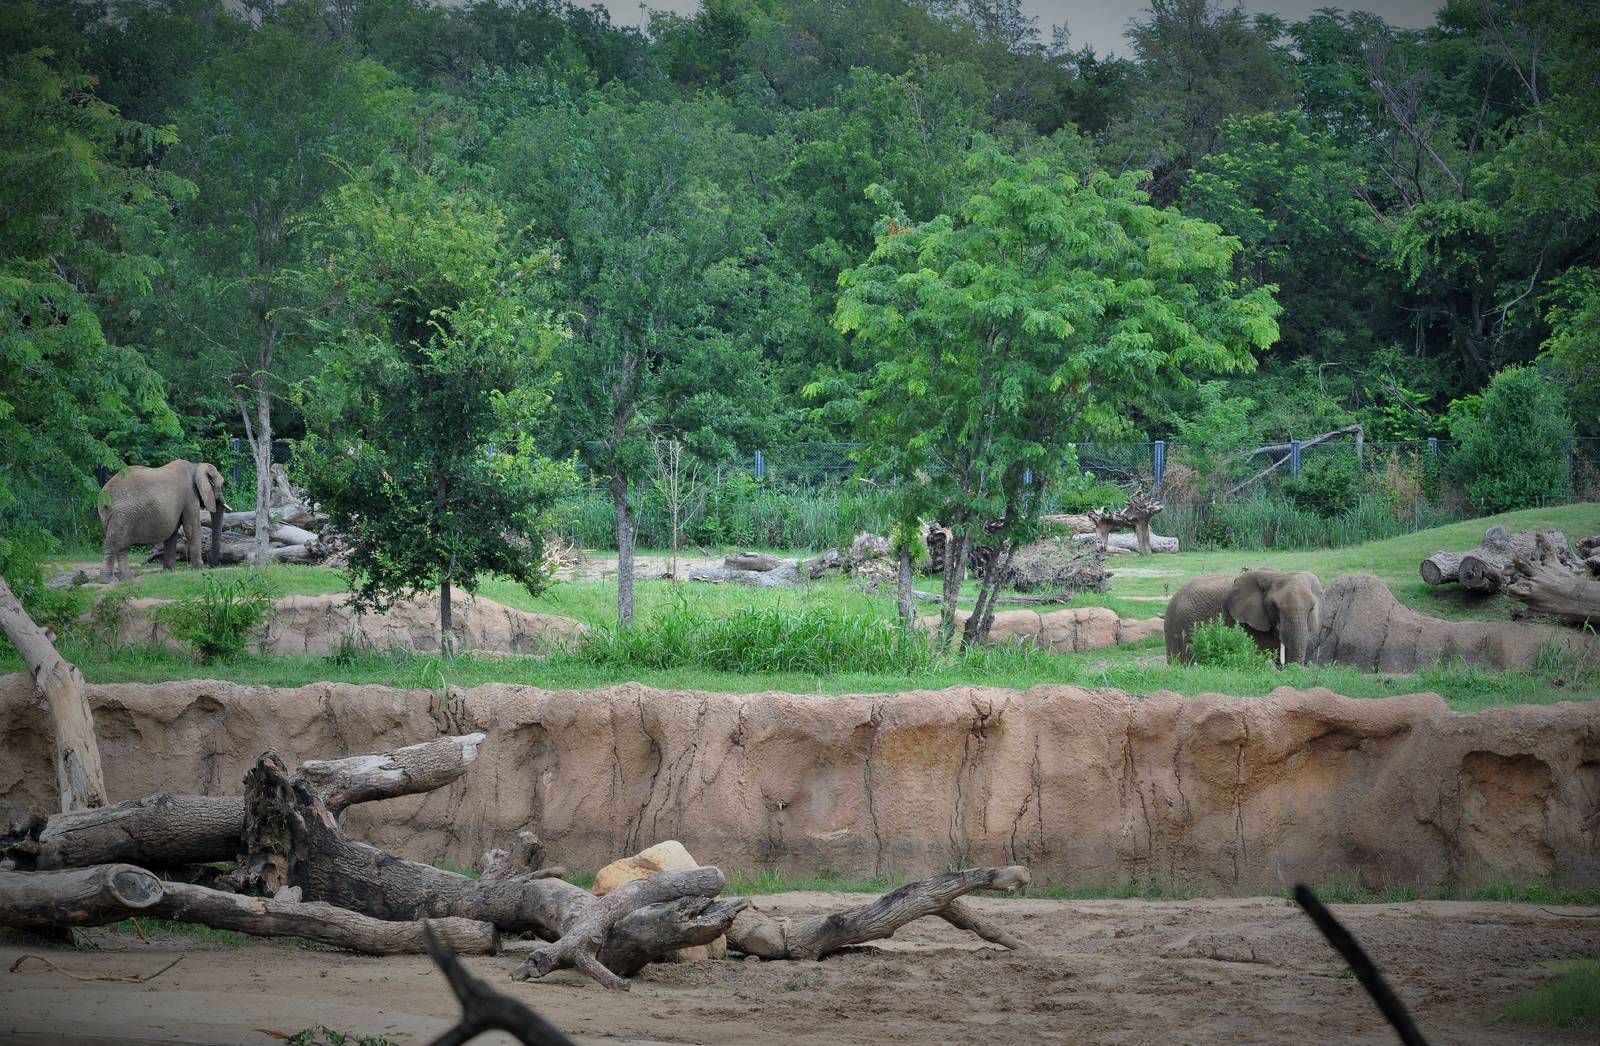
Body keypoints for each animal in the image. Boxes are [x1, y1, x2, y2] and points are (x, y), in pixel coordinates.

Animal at [98, 459, 227, 582]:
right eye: (221, 485)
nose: (211, 566)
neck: (196, 465)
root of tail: (104, 493)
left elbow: (173, 534)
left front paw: (169, 571)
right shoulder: (190, 495)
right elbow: (191, 528)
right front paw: (200, 569)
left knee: (122, 546)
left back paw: (128, 579)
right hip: (121, 513)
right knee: (114, 543)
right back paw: (108, 580)